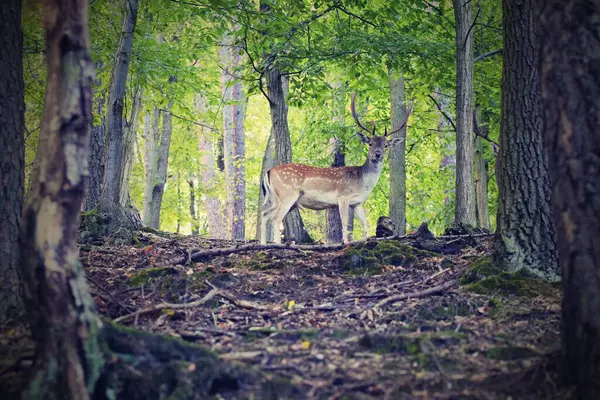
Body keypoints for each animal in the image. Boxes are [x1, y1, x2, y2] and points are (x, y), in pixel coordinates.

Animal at [260, 94, 414, 244]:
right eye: (370, 143)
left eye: (385, 145)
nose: (378, 154)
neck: (362, 182)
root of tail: (269, 172)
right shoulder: (343, 196)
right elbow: (345, 223)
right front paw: (345, 242)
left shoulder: (357, 203)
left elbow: (365, 224)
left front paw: (365, 240)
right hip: (287, 194)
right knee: (276, 218)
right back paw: (278, 244)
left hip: (276, 198)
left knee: (265, 214)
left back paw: (263, 243)